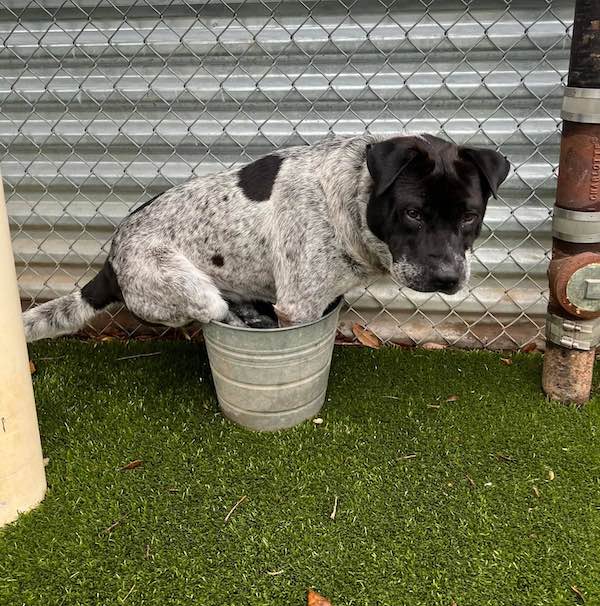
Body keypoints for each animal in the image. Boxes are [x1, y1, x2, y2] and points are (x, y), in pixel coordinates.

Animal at [24, 134, 510, 342]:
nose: (447, 278)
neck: (347, 201)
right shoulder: (298, 308)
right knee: (212, 312)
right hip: (191, 290)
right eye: (412, 213)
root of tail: (111, 260)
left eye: (470, 216)